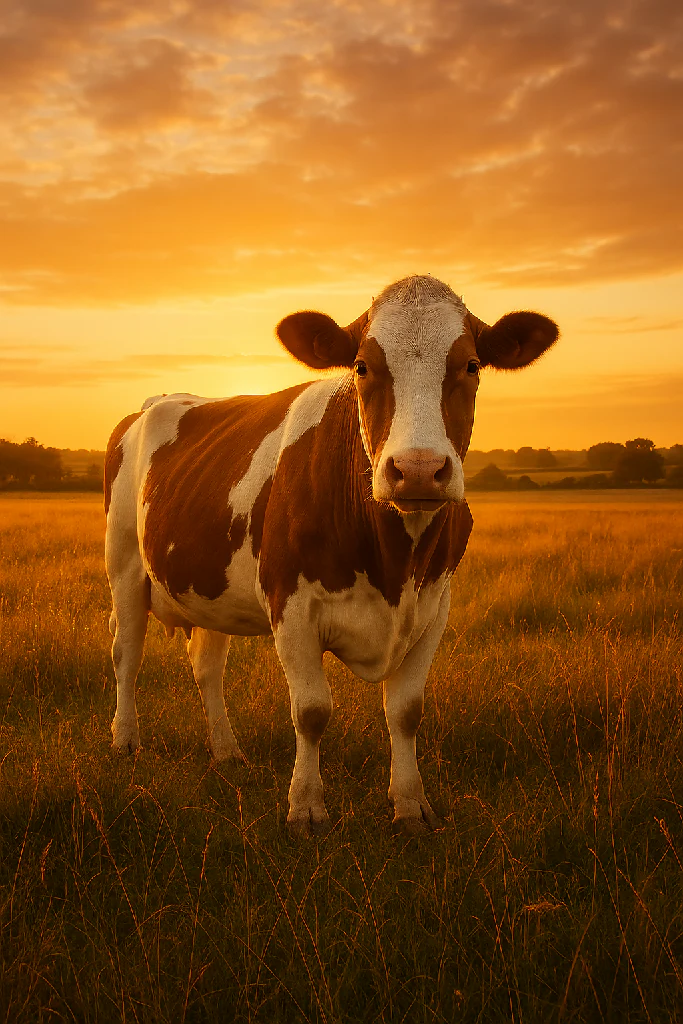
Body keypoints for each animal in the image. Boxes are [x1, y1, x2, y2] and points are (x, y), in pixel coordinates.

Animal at [104, 275, 558, 835]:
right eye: (362, 366)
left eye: (472, 365)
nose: (418, 469)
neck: (393, 563)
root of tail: (160, 399)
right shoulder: (291, 604)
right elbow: (312, 710)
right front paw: (306, 807)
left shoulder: (434, 607)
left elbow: (406, 710)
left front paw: (411, 805)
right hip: (124, 564)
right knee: (127, 652)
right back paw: (125, 740)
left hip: (209, 586)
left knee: (206, 665)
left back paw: (227, 751)